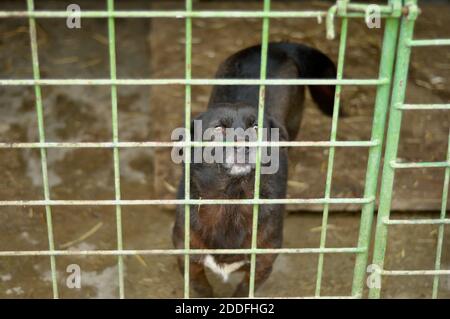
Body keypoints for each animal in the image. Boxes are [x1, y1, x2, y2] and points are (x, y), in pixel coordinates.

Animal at [174, 42, 336, 298]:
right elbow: (203, 289)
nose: (246, 146)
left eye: (257, 127)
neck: (232, 200)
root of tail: (276, 46)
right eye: (218, 129)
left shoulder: (262, 264)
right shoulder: (189, 261)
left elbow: (243, 290)